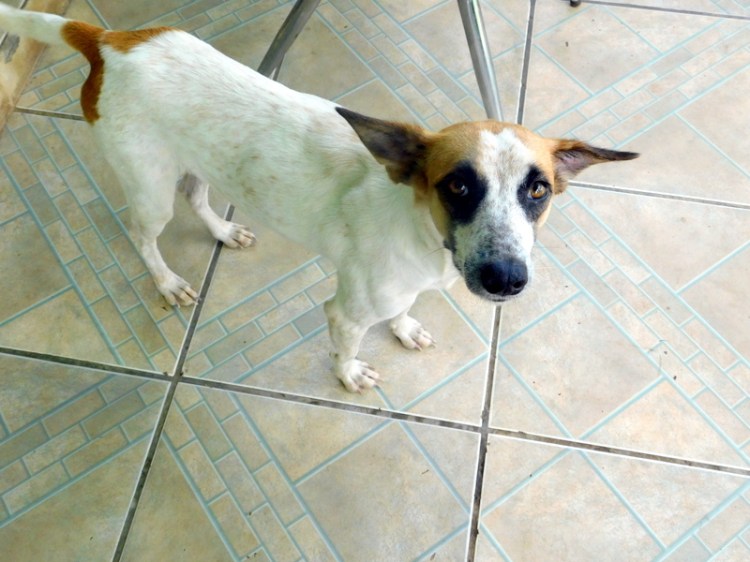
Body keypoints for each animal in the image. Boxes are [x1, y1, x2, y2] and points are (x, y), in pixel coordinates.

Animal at [0, 5, 638, 392]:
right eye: (458, 185)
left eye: (538, 189)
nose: (506, 279)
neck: (423, 238)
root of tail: (110, 40)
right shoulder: (346, 311)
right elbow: (345, 346)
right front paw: (350, 374)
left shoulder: (409, 285)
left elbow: (402, 310)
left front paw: (404, 328)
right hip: (148, 184)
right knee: (142, 234)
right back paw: (166, 282)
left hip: (202, 160)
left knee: (197, 194)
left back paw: (222, 231)